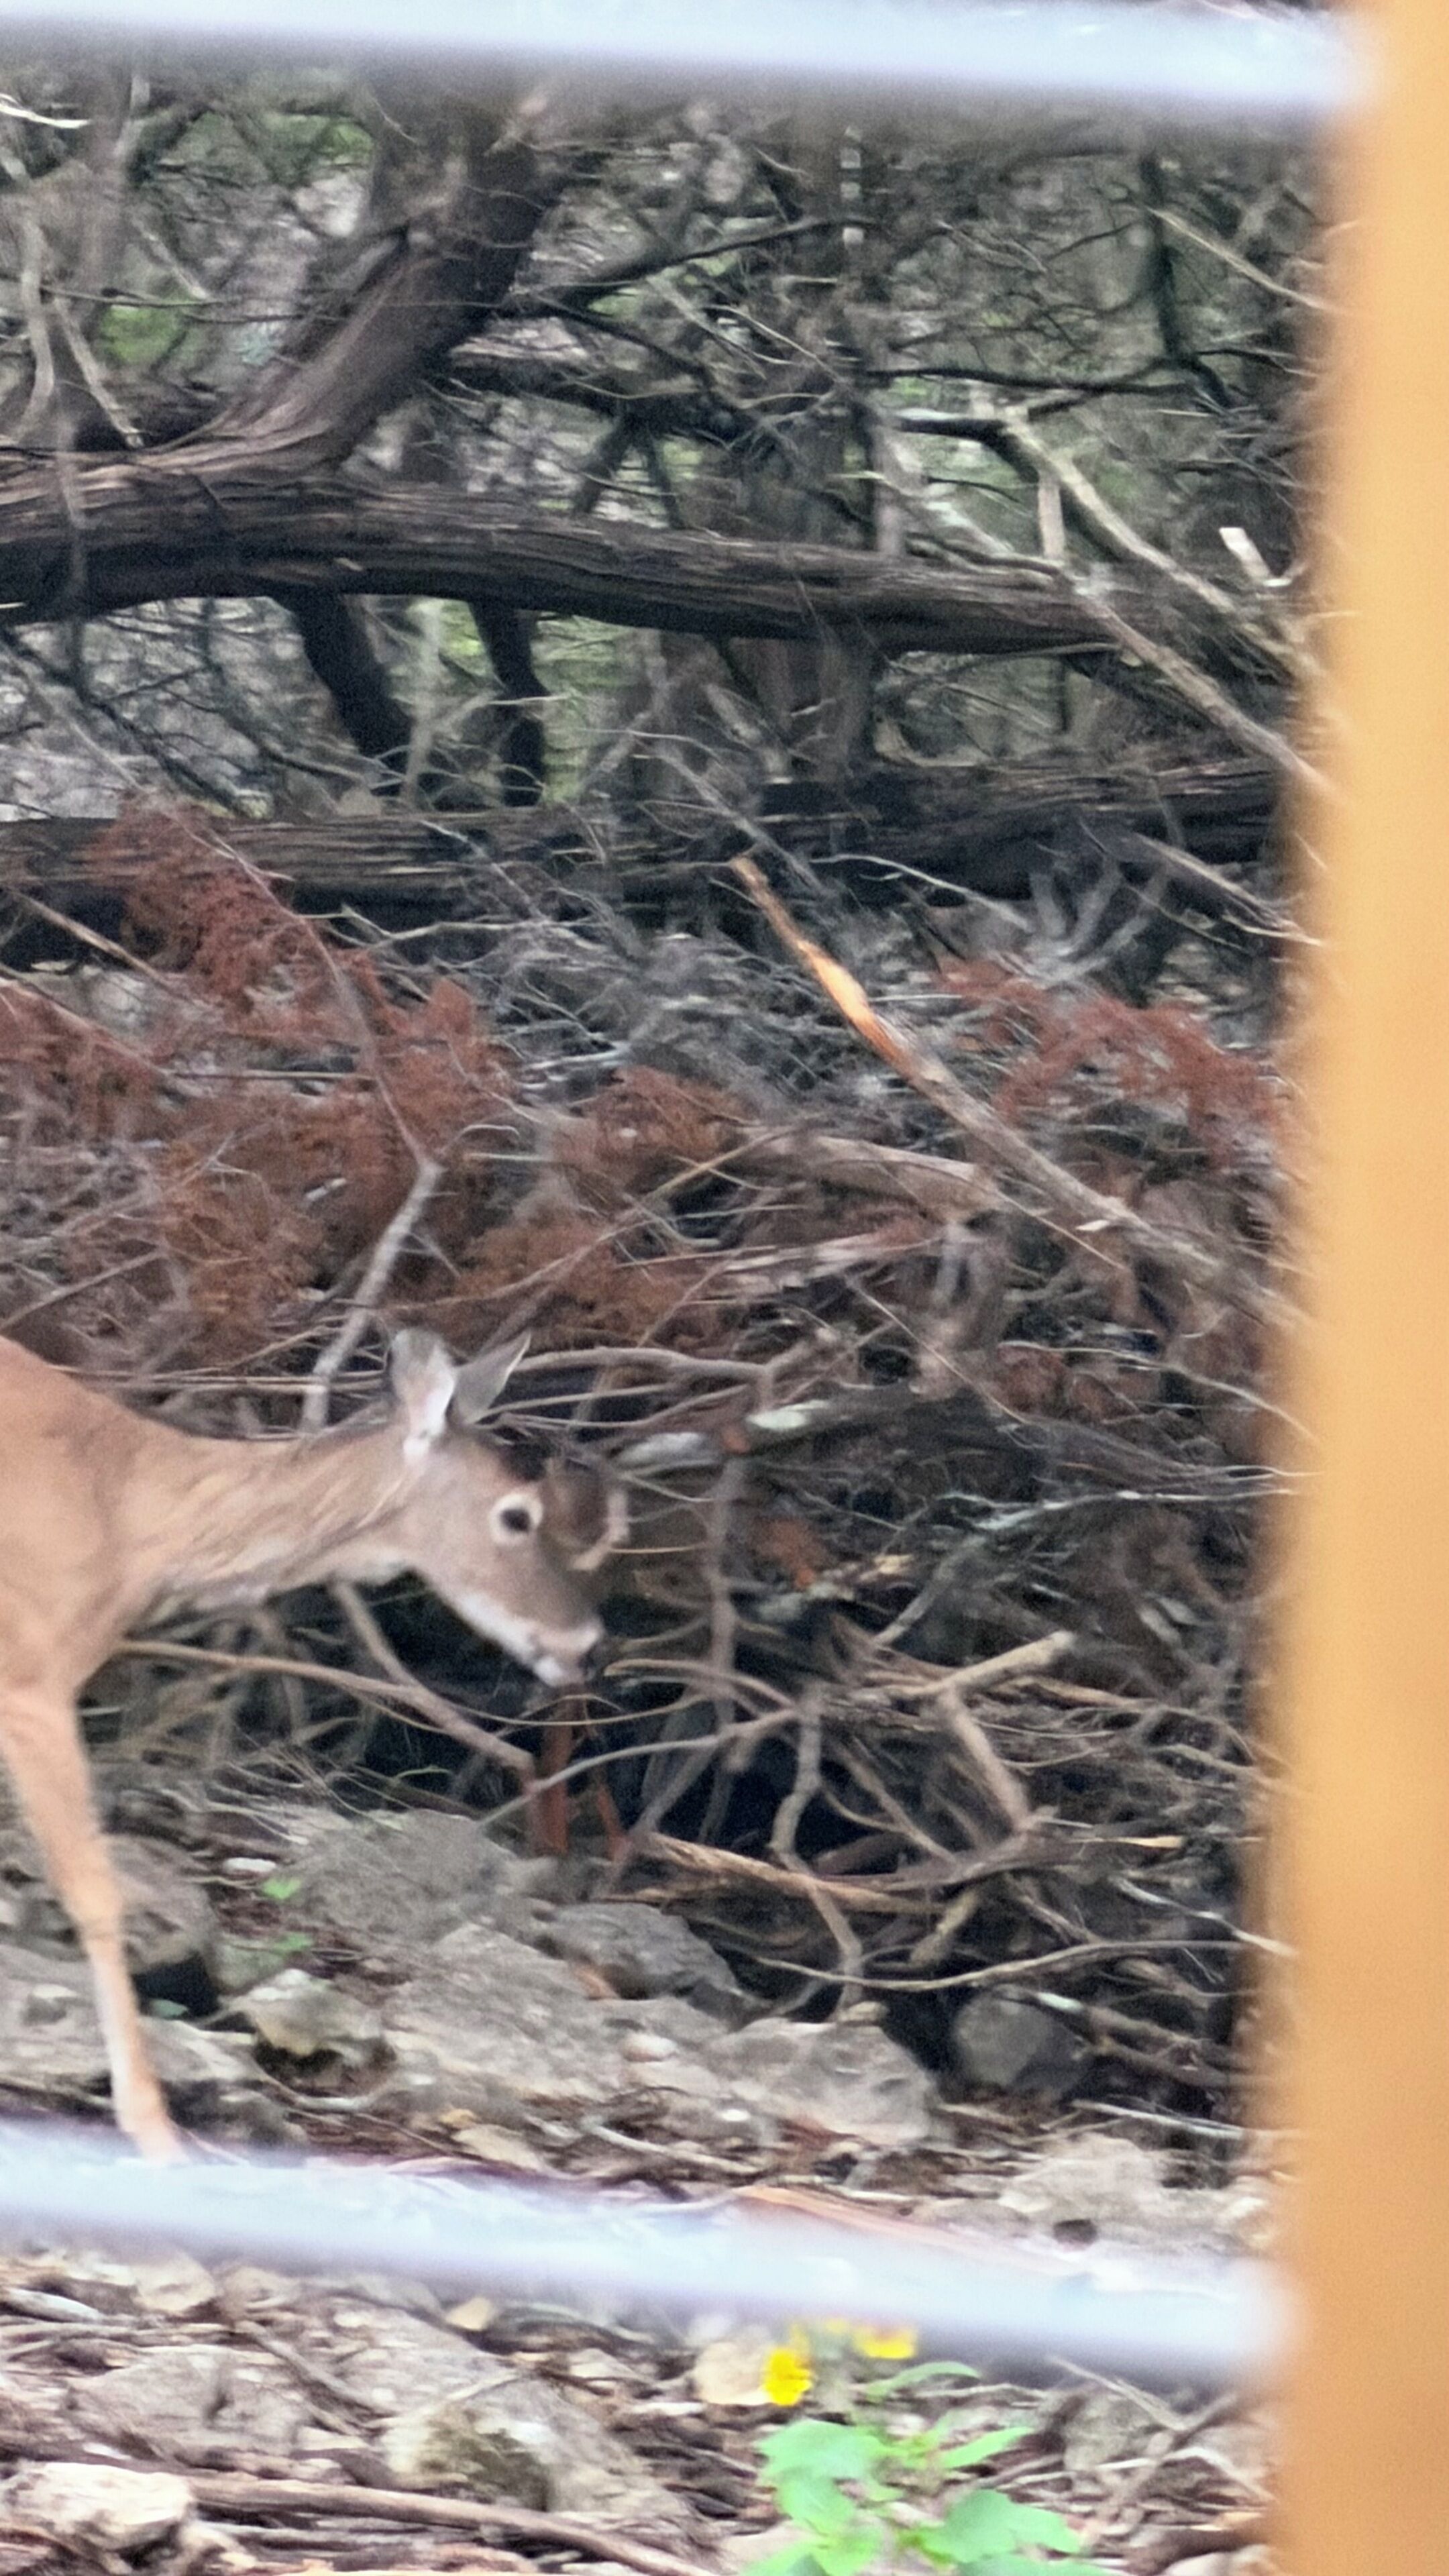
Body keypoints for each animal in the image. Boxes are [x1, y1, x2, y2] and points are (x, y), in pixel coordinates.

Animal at [0, 1326, 626, 2162]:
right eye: (517, 1515)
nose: (590, 1647)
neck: (137, 1513)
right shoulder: (31, 1672)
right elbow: (95, 1892)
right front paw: (153, 2128)